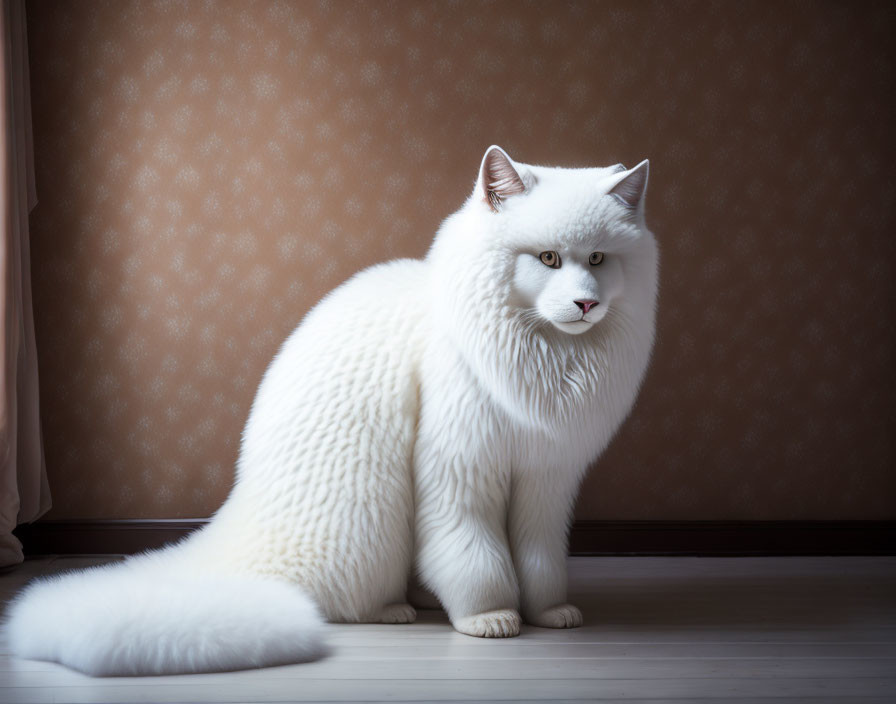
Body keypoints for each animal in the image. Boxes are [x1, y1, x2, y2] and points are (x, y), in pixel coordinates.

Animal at [3, 146, 656, 672]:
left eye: (598, 260)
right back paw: (399, 610)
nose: (586, 304)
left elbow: (540, 561)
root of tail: (239, 531)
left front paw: (549, 612)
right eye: (547, 259)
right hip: (374, 522)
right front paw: (491, 618)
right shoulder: (460, 473)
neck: (547, 365)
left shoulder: (547, 478)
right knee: (350, 603)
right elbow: (477, 558)